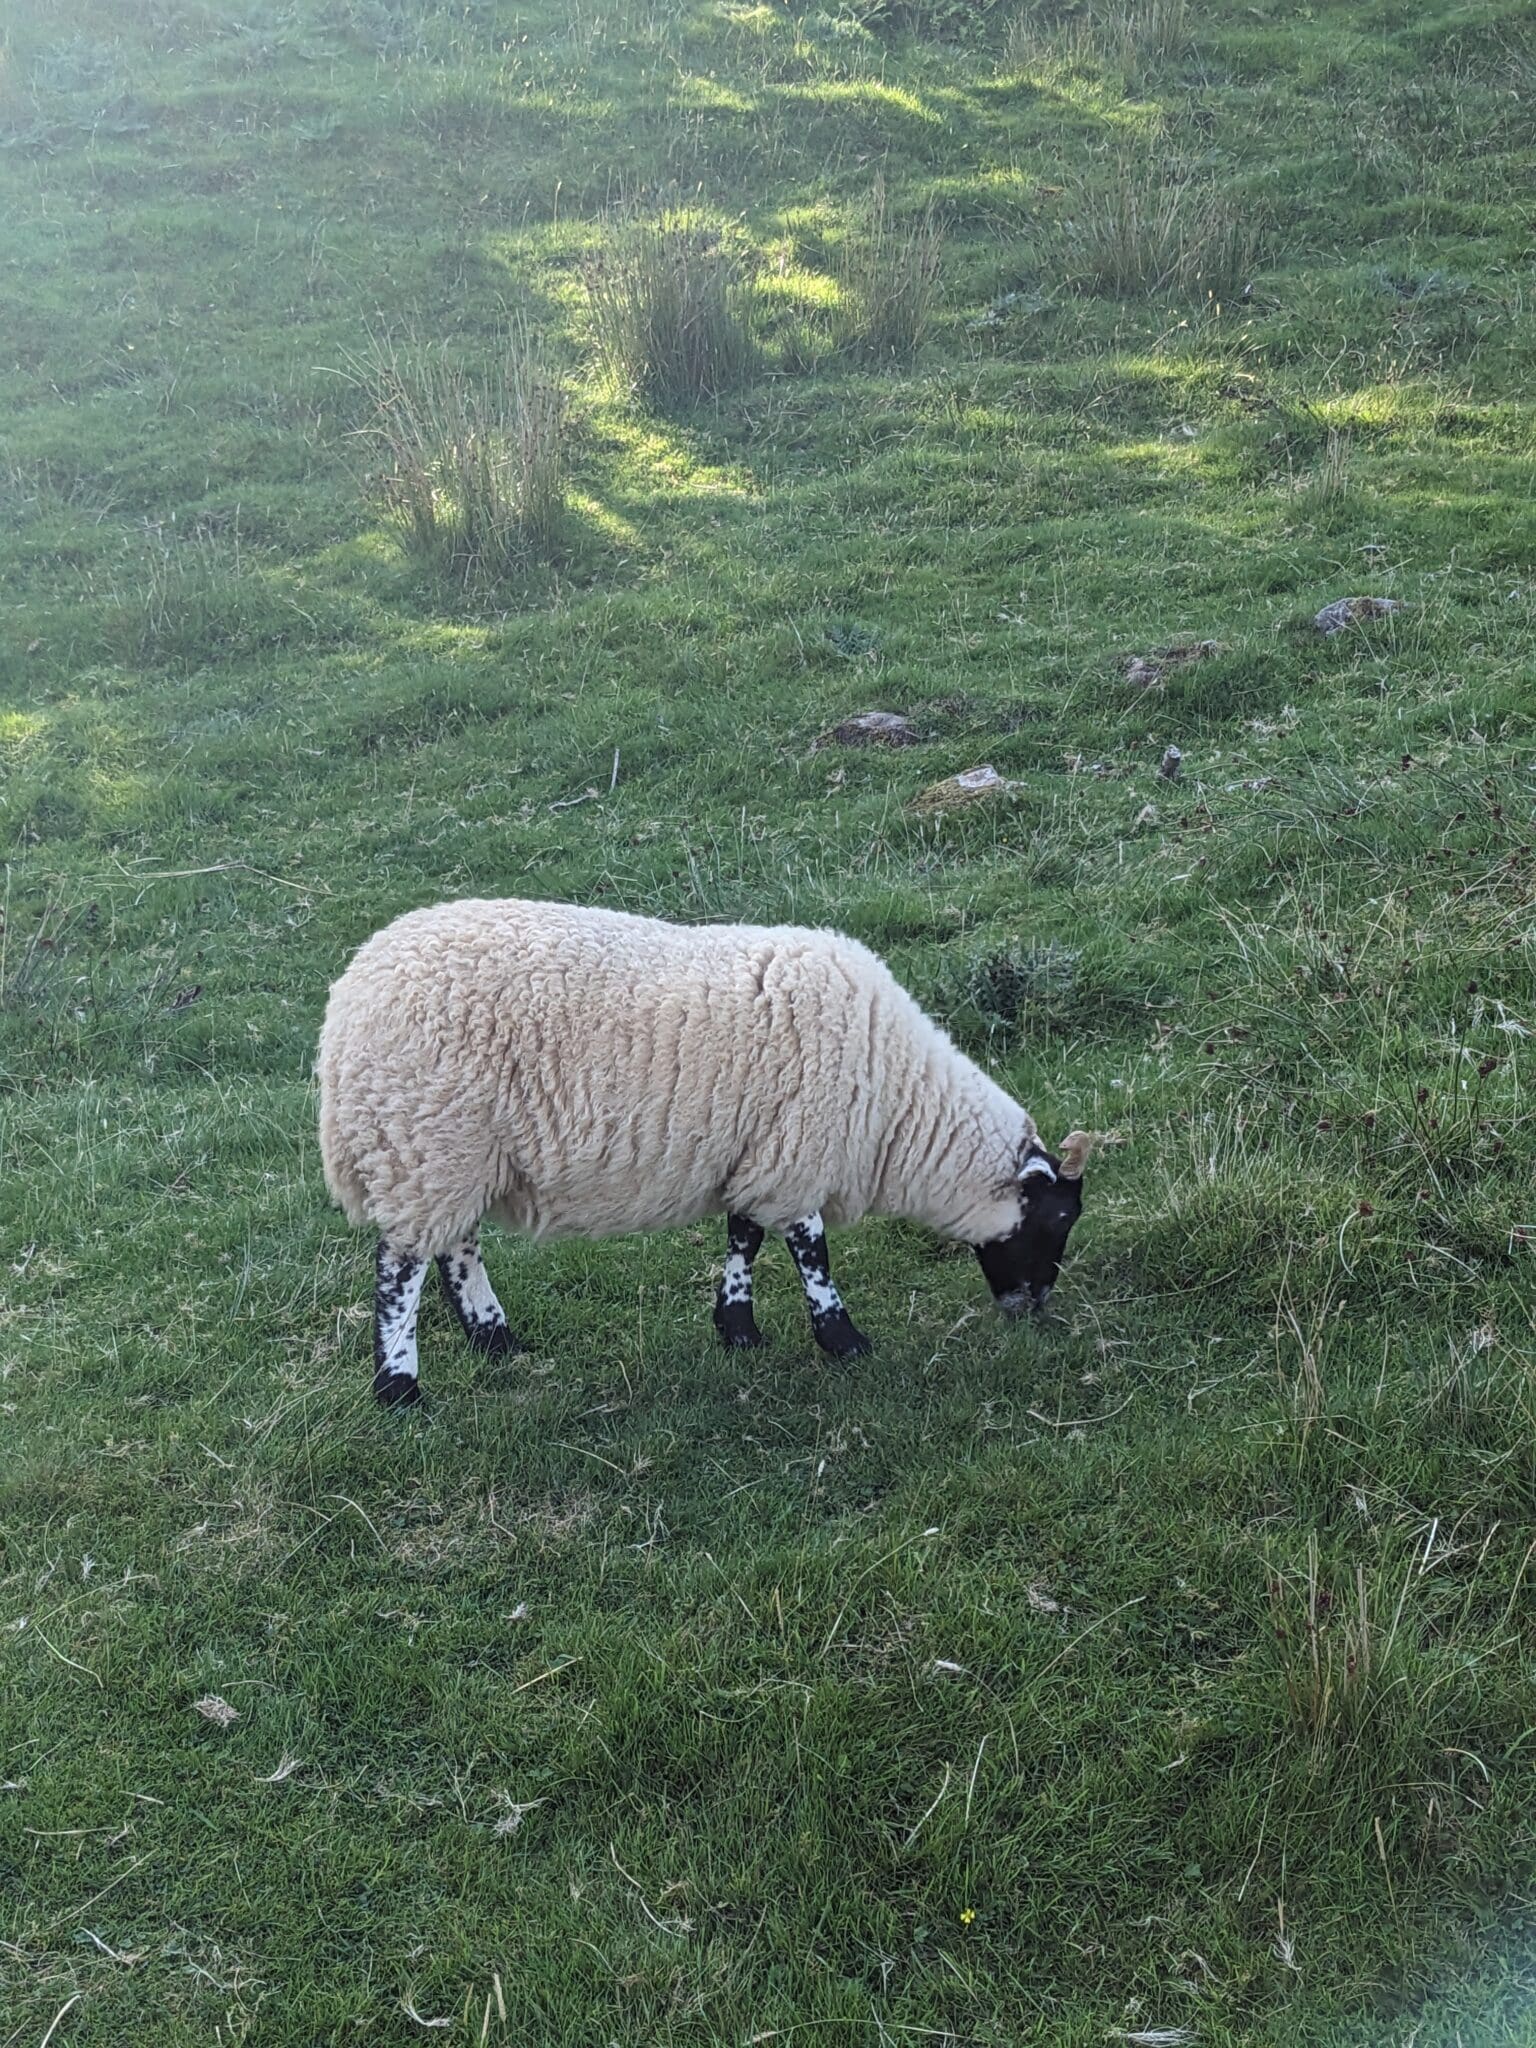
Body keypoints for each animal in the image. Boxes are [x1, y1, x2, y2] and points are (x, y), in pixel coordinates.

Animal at [315, 901, 1097, 1409]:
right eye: (1057, 1219)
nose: (1035, 1308)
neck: (900, 1104)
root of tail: (348, 997)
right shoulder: (797, 1150)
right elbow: (812, 1253)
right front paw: (843, 1340)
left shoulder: (761, 1153)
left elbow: (743, 1235)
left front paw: (738, 1329)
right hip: (425, 1139)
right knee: (400, 1268)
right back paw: (400, 1387)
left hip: (452, 1151)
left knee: (457, 1247)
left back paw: (495, 1340)